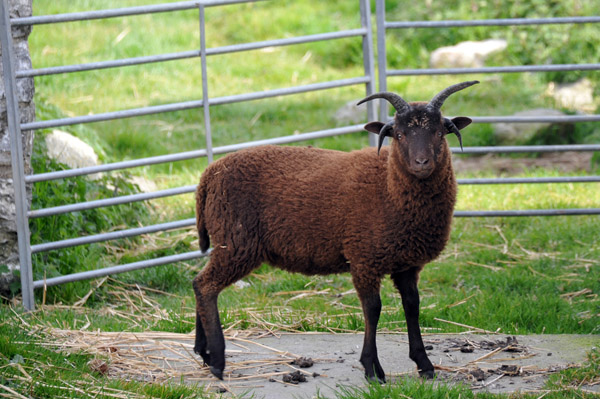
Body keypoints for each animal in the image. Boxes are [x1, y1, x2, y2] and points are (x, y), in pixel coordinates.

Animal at [195, 80, 480, 382]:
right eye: (400, 134)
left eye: (439, 132)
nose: (422, 163)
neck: (388, 188)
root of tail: (209, 175)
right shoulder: (364, 257)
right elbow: (373, 310)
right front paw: (372, 368)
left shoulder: (407, 263)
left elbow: (412, 306)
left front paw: (424, 363)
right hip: (235, 242)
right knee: (206, 286)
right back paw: (217, 360)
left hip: (227, 241)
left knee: (199, 283)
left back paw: (203, 353)